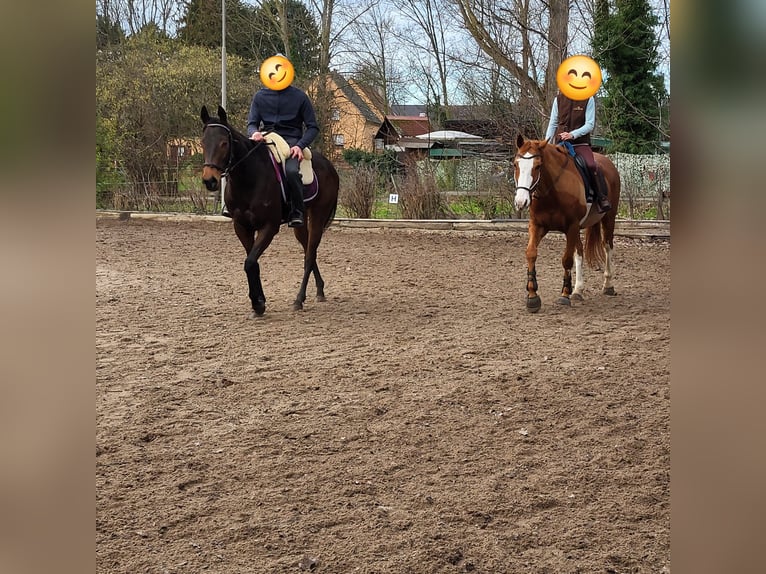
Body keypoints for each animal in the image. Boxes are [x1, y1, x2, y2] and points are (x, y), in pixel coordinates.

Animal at [200, 105, 339, 317]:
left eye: (224, 143)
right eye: (202, 143)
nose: (210, 180)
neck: (249, 178)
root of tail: (330, 166)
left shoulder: (269, 227)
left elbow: (250, 262)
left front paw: (257, 304)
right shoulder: (242, 227)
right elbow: (252, 262)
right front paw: (259, 302)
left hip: (318, 216)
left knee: (310, 255)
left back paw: (299, 300)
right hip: (300, 222)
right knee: (309, 250)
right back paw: (320, 290)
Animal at [513, 134, 621, 313]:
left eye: (538, 166)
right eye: (515, 164)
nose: (521, 202)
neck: (552, 191)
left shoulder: (571, 226)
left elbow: (566, 260)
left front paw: (564, 294)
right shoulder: (537, 226)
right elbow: (531, 253)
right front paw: (532, 296)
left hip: (608, 218)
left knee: (607, 247)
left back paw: (608, 285)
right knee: (580, 252)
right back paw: (578, 290)